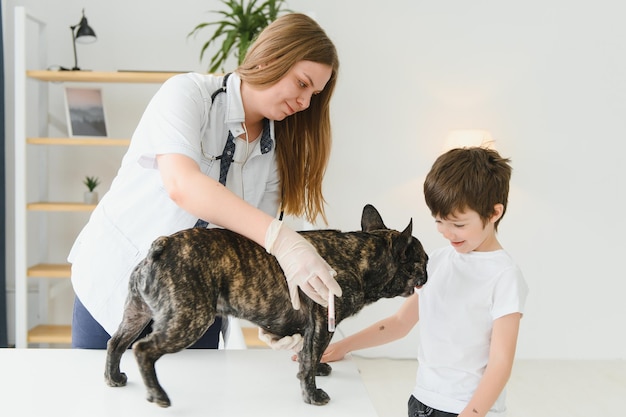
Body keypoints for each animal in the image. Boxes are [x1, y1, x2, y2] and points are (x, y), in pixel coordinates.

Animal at [105, 205, 426, 406]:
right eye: (422, 260)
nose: (427, 272)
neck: (362, 257)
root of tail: (162, 245)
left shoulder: (313, 327)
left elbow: (309, 355)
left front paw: (318, 368)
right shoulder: (323, 323)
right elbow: (310, 358)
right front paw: (312, 394)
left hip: (137, 313)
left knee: (117, 342)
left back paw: (113, 378)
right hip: (190, 319)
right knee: (143, 349)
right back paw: (158, 395)